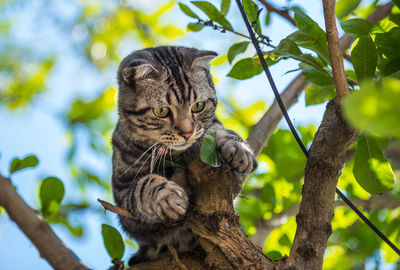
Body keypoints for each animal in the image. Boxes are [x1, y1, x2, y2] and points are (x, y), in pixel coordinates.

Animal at [111, 45, 258, 264]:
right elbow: (144, 185)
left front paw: (239, 149)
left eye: (198, 106)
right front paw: (167, 195)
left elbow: (218, 130)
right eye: (161, 111)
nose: (187, 133)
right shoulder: (125, 205)